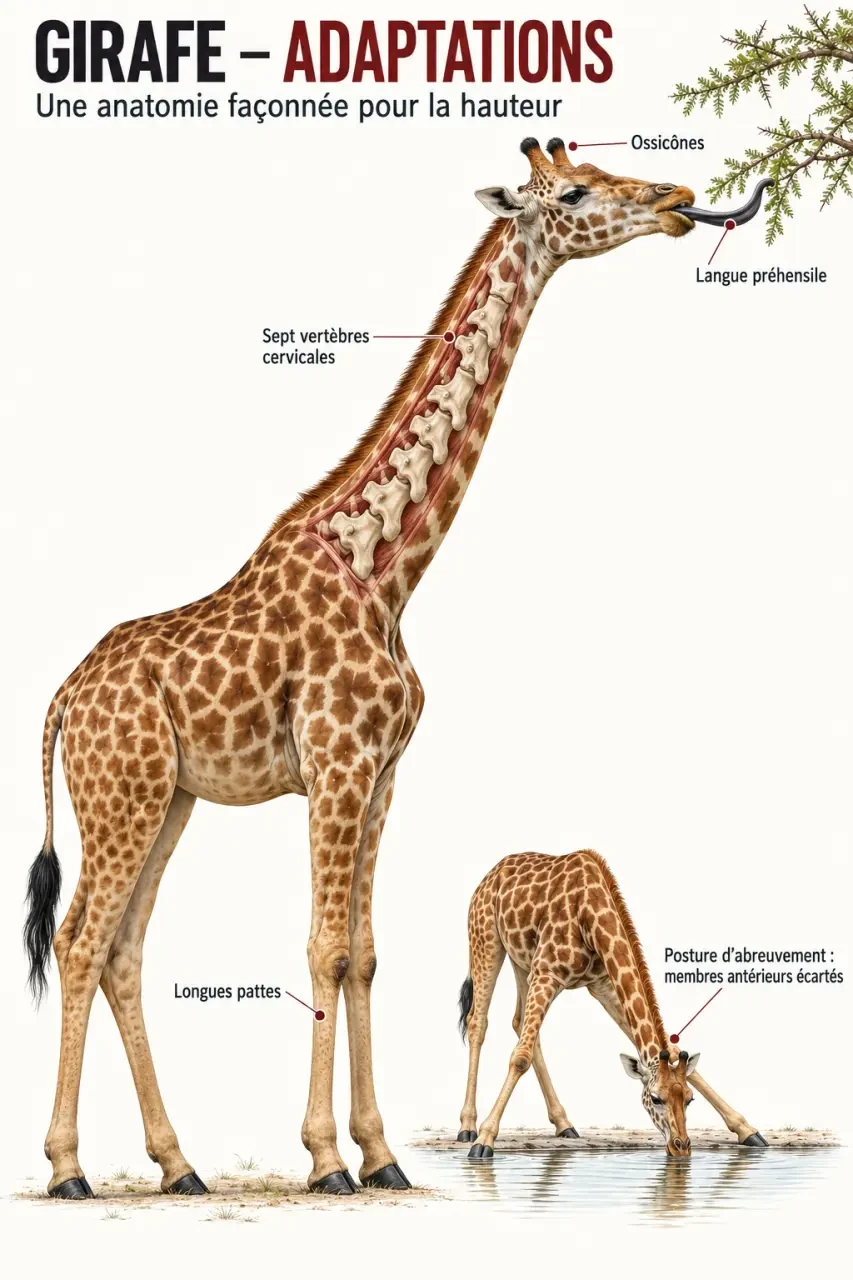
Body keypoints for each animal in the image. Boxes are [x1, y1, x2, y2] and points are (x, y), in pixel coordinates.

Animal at [24, 137, 709, 1200]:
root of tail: (62, 697)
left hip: (169, 798)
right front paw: (326, 1159)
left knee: (124, 950)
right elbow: (322, 948)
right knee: (81, 939)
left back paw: (179, 1165)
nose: (678, 198)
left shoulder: (383, 775)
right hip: (121, 794)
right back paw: (67, 1169)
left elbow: (366, 955)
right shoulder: (336, 767)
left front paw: (379, 1153)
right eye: (572, 191)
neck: (386, 570)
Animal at [456, 850, 767, 1158]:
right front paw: (484, 1139)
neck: (590, 915)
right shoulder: (547, 973)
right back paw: (467, 1127)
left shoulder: (602, 983)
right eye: (656, 1099)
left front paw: (747, 1130)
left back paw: (564, 1124)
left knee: (520, 1023)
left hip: (522, 959)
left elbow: (671, 1049)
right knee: (479, 1022)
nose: (681, 1147)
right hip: (487, 941)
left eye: (689, 1099)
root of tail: (490, 875)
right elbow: (519, 1058)